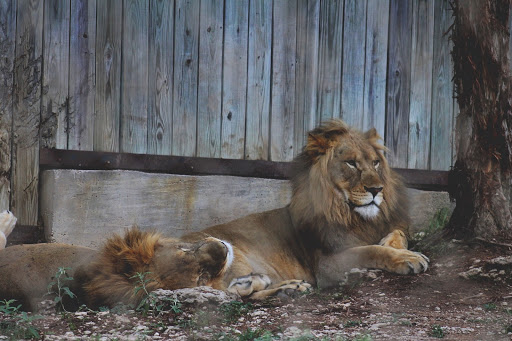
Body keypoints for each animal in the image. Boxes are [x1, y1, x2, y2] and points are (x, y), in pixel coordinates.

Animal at [0, 120, 428, 310]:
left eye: (375, 162)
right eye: (351, 164)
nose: (376, 189)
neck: (353, 214)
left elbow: (395, 236)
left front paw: (403, 246)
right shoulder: (327, 262)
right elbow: (372, 251)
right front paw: (408, 260)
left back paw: (283, 288)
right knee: (232, 295)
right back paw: (277, 288)